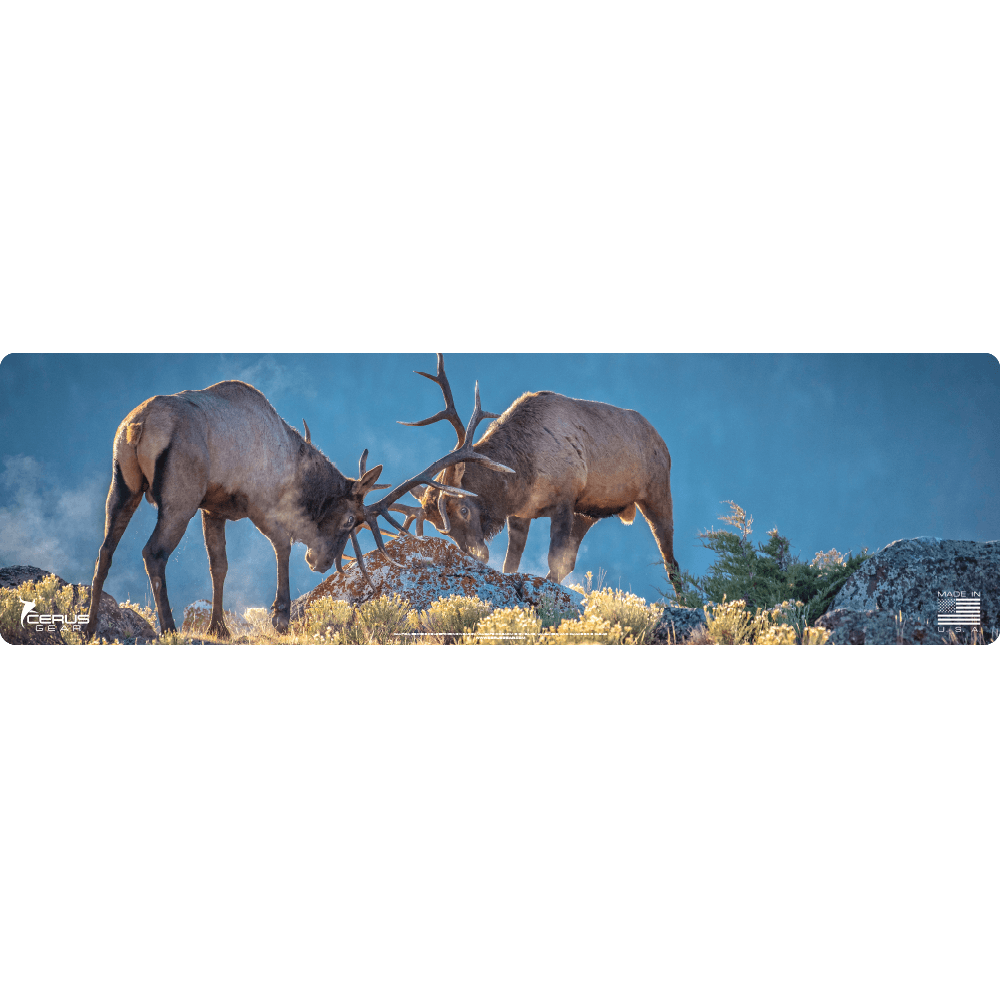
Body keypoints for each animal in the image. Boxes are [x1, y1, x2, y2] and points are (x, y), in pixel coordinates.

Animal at [84, 377, 514, 640]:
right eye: (348, 520)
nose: (320, 563)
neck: (296, 466)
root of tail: (137, 427)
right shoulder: (259, 503)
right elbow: (282, 546)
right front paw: (281, 617)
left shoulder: (214, 508)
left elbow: (219, 565)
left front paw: (219, 628)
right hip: (179, 496)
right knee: (152, 552)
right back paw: (170, 627)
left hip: (123, 485)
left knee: (105, 550)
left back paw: (90, 625)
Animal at [399, 354, 680, 596]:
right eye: (440, 528)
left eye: (464, 509)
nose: (476, 555)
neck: (521, 475)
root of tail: (663, 443)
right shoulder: (521, 514)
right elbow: (512, 564)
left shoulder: (565, 500)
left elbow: (554, 558)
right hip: (587, 512)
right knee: (572, 561)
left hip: (656, 493)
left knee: (671, 562)